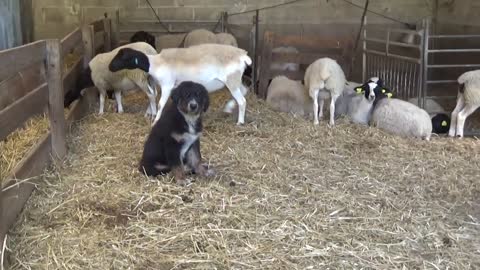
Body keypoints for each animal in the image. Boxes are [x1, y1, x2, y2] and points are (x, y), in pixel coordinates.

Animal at [108, 43, 251, 125]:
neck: (155, 63)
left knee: (242, 101)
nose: (109, 67)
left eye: (122, 57)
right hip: (235, 81)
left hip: (232, 80)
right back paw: (228, 108)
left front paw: (155, 120)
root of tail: (243, 56)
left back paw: (240, 122)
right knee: (244, 91)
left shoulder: (167, 84)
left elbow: (160, 104)